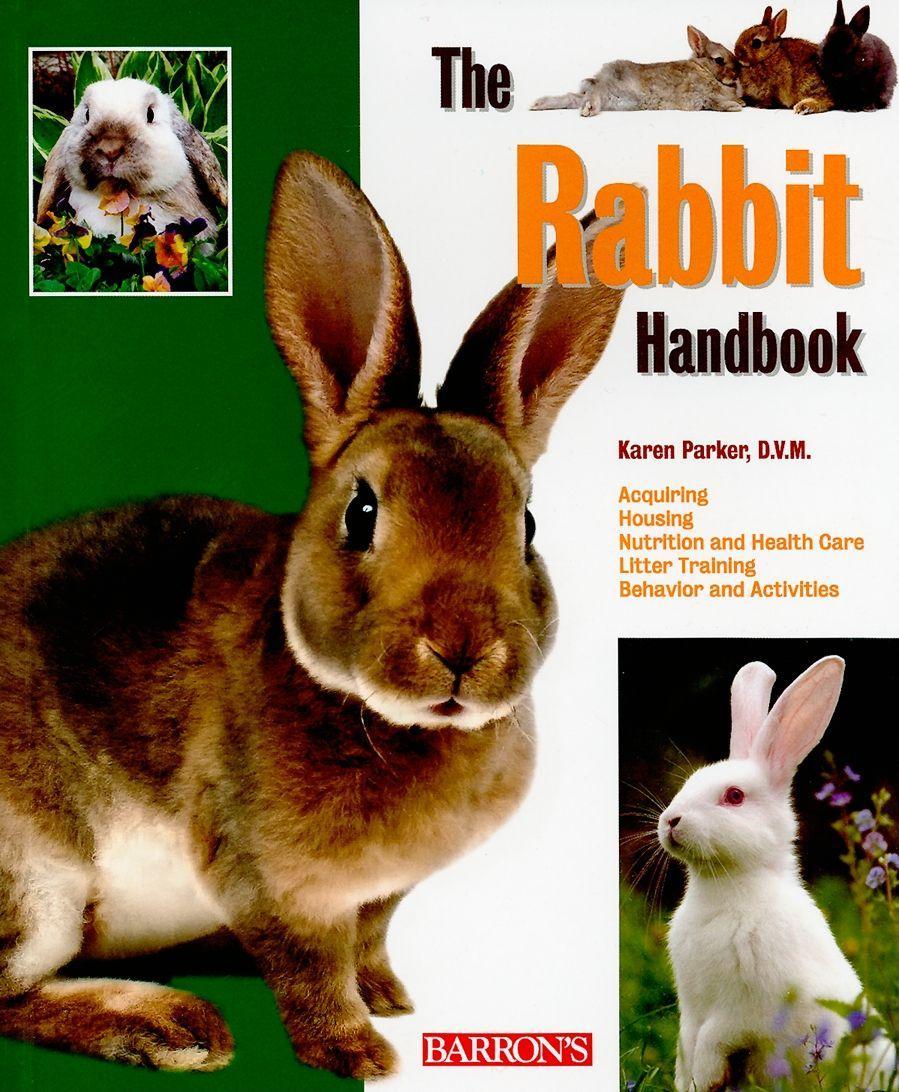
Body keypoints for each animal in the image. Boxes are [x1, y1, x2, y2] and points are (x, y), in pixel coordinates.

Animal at [0, 152, 626, 1076]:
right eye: (360, 514)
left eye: (527, 526)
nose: (461, 650)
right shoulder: (268, 880)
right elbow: (307, 969)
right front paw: (358, 1051)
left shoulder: (377, 897)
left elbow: (365, 944)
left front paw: (390, 1000)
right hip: (39, 883)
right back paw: (171, 1027)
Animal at [531, 27, 743, 117]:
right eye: (719, 60)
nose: (736, 74)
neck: (705, 70)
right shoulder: (697, 95)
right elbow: (713, 101)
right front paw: (734, 106)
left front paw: (738, 103)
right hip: (609, 87)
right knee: (592, 89)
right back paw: (589, 109)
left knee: (573, 97)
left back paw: (538, 104)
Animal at [658, 657, 896, 1091]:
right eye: (689, 782)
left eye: (734, 796)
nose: (671, 820)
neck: (726, 887)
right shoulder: (692, 1010)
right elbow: (687, 1043)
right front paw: (690, 1081)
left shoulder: (747, 1008)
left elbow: (714, 1038)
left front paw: (706, 1076)